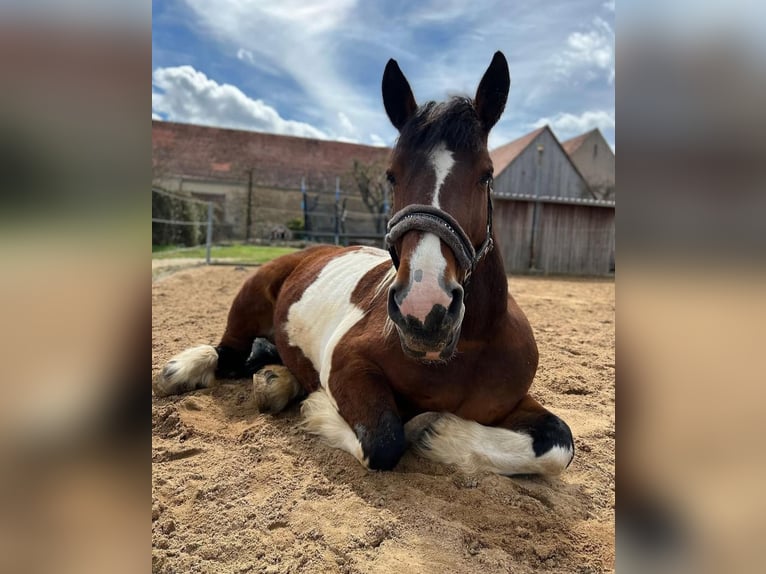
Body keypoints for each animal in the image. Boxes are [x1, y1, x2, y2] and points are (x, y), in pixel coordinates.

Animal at [153, 53, 576, 476]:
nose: (424, 311)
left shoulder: (512, 404)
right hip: (249, 298)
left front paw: (438, 433)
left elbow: (559, 443)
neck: (469, 348)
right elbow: (385, 439)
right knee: (227, 354)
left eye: (486, 175)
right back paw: (183, 371)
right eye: (391, 175)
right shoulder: (349, 365)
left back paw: (277, 381)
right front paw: (319, 407)